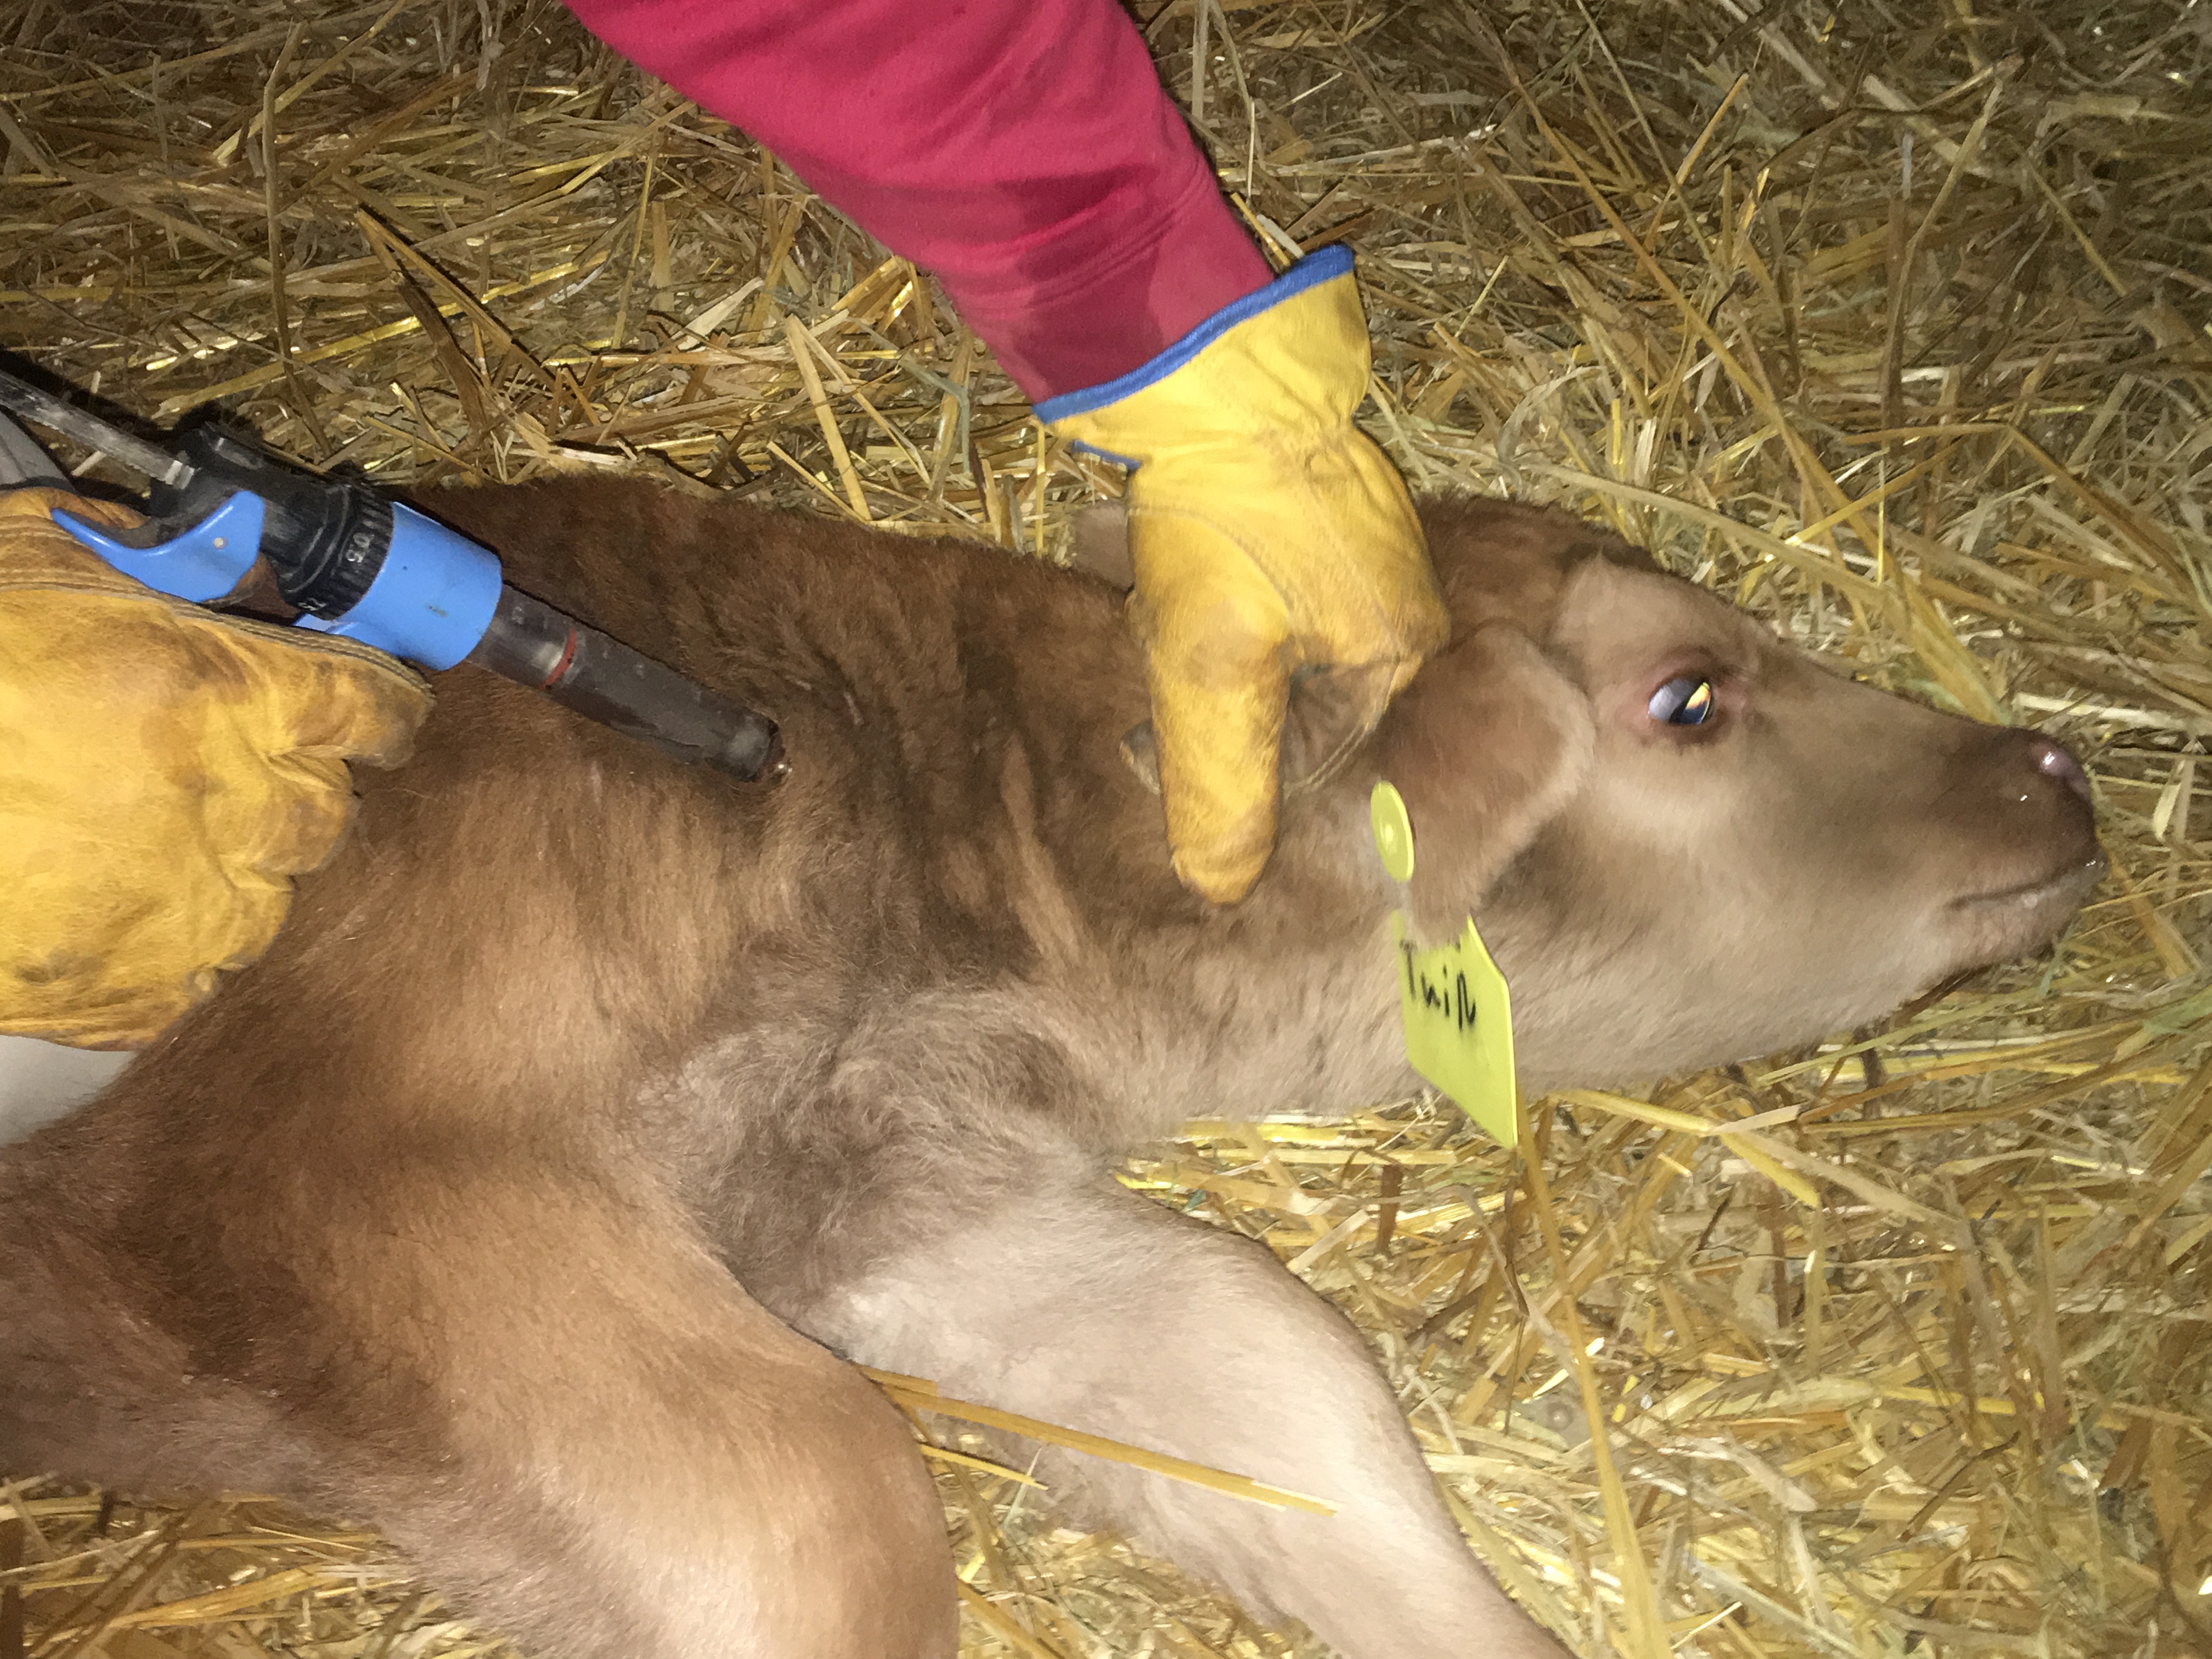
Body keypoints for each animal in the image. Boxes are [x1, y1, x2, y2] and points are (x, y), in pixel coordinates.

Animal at [0, 484, 2097, 1659]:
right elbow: (826, 1501)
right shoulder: (314, 1152)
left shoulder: (888, 1198)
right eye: (1687, 696)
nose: (2059, 768)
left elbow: (1279, 1381)